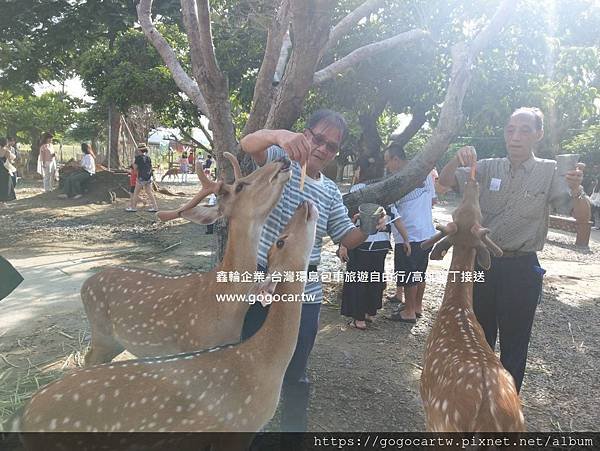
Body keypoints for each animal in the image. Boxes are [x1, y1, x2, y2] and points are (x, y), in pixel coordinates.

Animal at [82, 154, 292, 366]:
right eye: (240, 186)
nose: (282, 159)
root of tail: (85, 285)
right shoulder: (192, 348)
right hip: (102, 334)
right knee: (89, 358)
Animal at [418, 165, 524, 430]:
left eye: (455, 212)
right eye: (477, 213)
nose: (472, 182)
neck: (458, 307)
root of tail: (489, 418)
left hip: (444, 423)